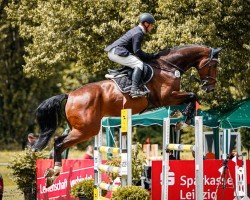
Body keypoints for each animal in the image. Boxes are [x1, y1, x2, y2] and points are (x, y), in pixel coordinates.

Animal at [31, 44, 221, 187]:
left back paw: (51, 173)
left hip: (79, 128)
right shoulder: (167, 96)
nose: (210, 87)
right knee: (58, 143)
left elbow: (190, 99)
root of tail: (70, 95)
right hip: (86, 130)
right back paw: (53, 172)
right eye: (213, 65)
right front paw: (186, 118)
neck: (168, 67)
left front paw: (183, 118)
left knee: (59, 141)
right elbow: (192, 96)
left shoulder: (171, 98)